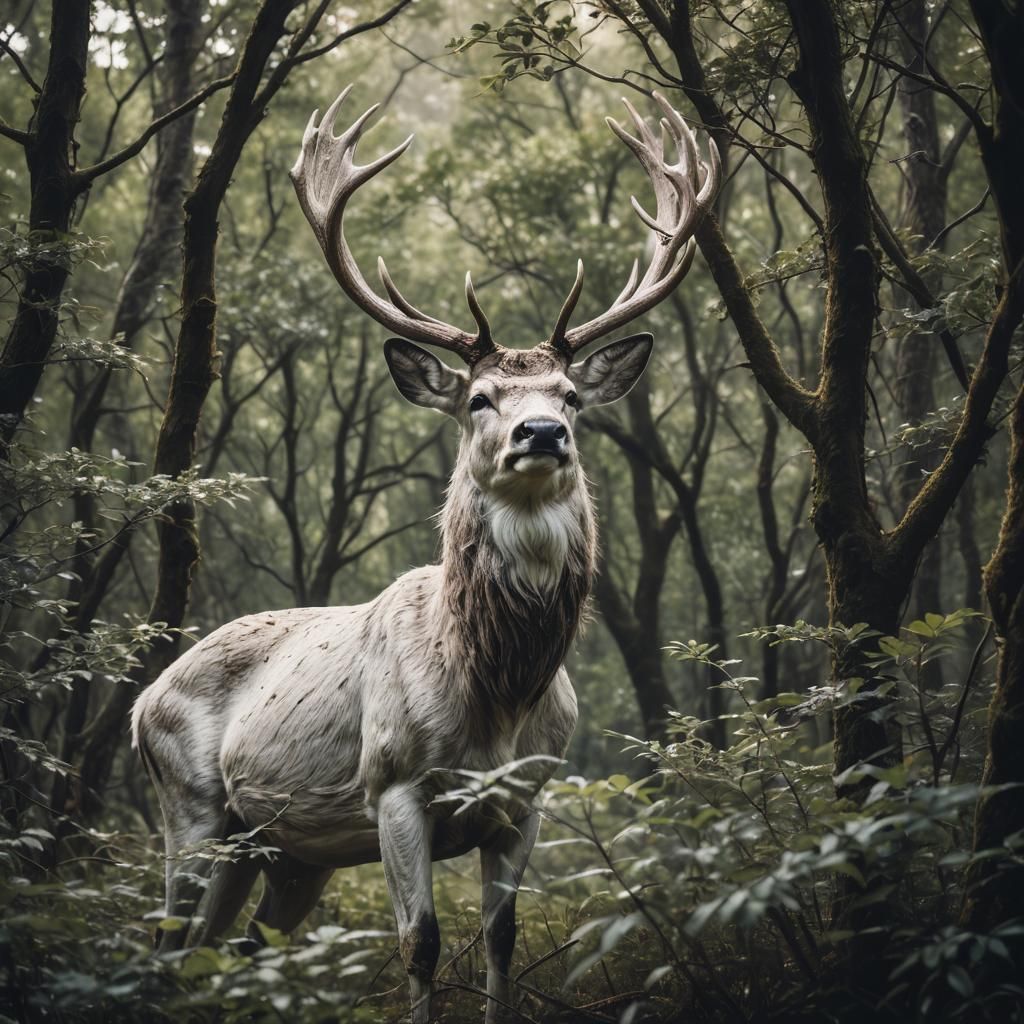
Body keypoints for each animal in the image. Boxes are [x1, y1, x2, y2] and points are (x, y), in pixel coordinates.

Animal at [131, 86, 718, 1023]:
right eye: (478, 397)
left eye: (571, 394)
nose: (540, 432)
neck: (497, 693)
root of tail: (140, 700)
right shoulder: (393, 784)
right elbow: (421, 941)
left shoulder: (528, 798)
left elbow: (503, 938)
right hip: (187, 805)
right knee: (164, 944)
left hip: (285, 851)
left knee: (229, 952)